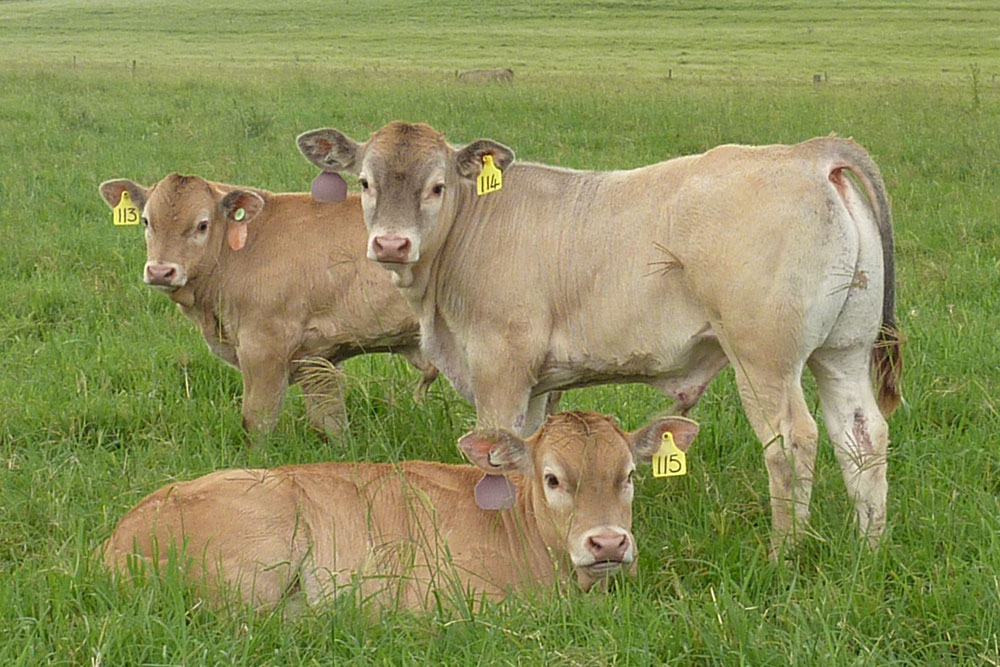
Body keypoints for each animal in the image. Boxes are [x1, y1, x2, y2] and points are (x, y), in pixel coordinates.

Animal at [98, 174, 437, 437]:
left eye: (202, 225)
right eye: (146, 221)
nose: (160, 271)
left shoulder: (262, 347)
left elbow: (256, 422)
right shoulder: (318, 357)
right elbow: (330, 423)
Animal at [297, 121, 904, 556]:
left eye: (437, 186)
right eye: (366, 183)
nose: (391, 244)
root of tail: (809, 152)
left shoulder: (499, 369)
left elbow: (493, 457)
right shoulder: (536, 385)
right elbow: (525, 455)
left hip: (764, 360)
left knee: (792, 442)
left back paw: (785, 554)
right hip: (843, 353)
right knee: (862, 437)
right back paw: (868, 549)